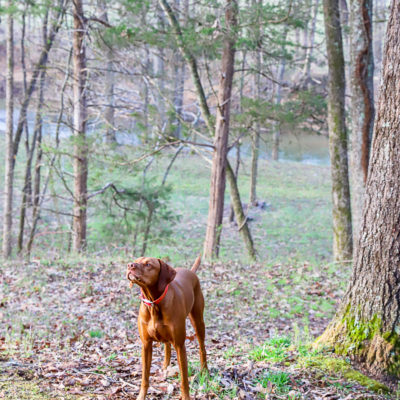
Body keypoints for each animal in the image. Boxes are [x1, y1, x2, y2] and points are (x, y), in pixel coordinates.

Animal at [126, 256, 208, 400]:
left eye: (148, 264)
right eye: (136, 260)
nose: (130, 265)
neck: (153, 303)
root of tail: (191, 271)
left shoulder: (180, 345)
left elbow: (184, 380)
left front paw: (186, 397)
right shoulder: (146, 344)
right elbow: (144, 377)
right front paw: (141, 396)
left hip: (198, 322)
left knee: (202, 347)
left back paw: (205, 371)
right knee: (167, 345)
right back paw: (165, 366)